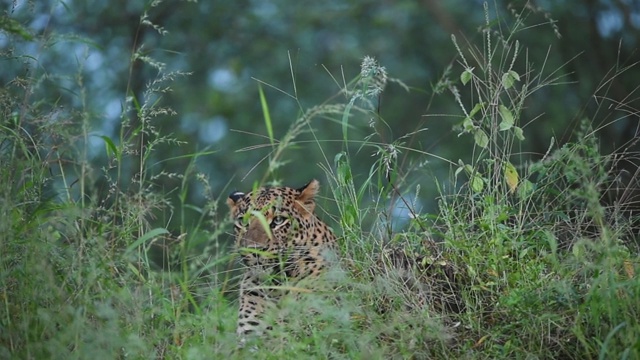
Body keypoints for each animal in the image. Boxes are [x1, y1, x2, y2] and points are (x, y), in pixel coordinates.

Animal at [226, 179, 338, 344]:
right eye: (243, 221)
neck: (276, 287)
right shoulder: (250, 333)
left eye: (278, 220)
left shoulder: (314, 324)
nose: (255, 250)